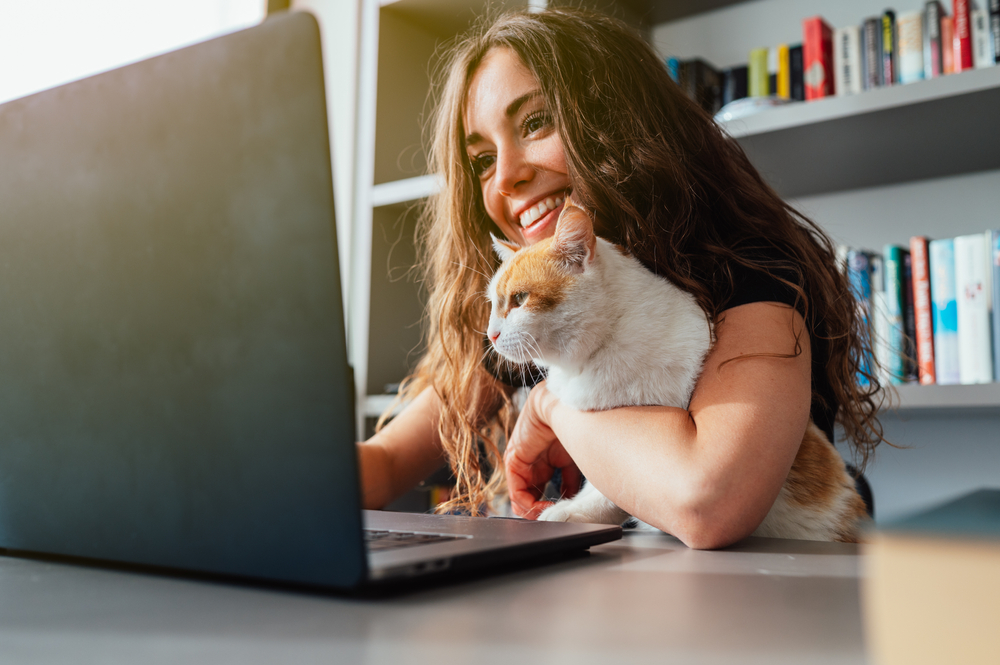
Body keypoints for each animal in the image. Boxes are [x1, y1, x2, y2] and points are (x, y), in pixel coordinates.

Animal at [488, 205, 872, 544]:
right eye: (493, 304)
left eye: (519, 299)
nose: (490, 334)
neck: (606, 337)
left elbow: (612, 490)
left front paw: (572, 512)